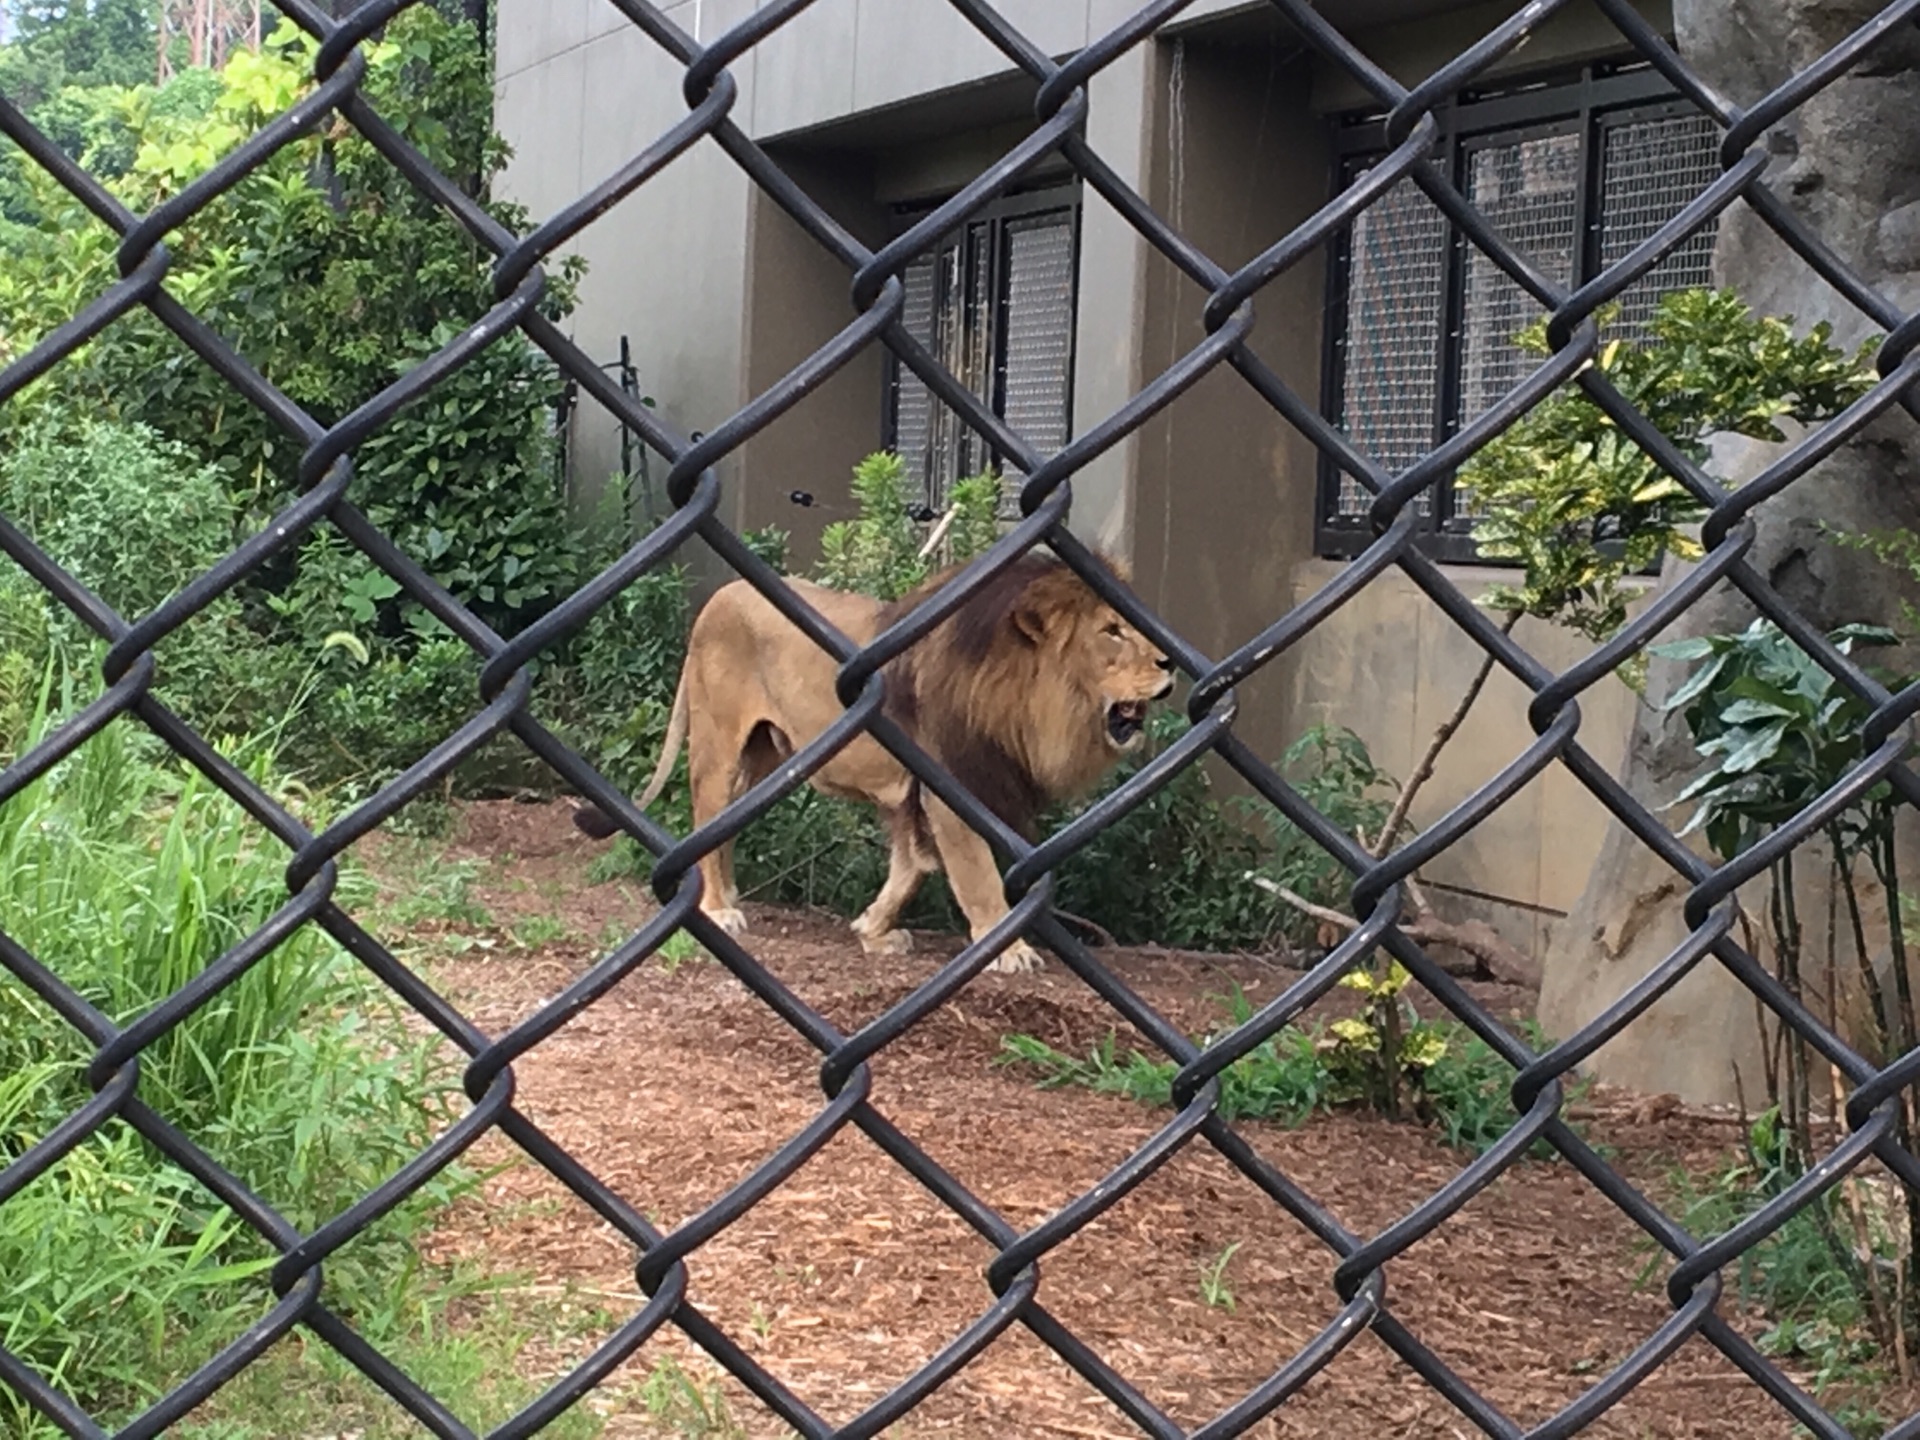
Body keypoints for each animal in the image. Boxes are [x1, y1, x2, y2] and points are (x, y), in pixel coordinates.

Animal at [568, 545, 1167, 975]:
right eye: (1111, 631)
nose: (1167, 661)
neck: (1022, 699)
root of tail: (718, 596)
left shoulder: (917, 793)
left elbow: (910, 867)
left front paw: (872, 931)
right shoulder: (950, 788)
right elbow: (975, 874)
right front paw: (1006, 949)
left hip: (764, 758)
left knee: (728, 826)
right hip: (720, 746)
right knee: (706, 818)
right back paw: (717, 907)